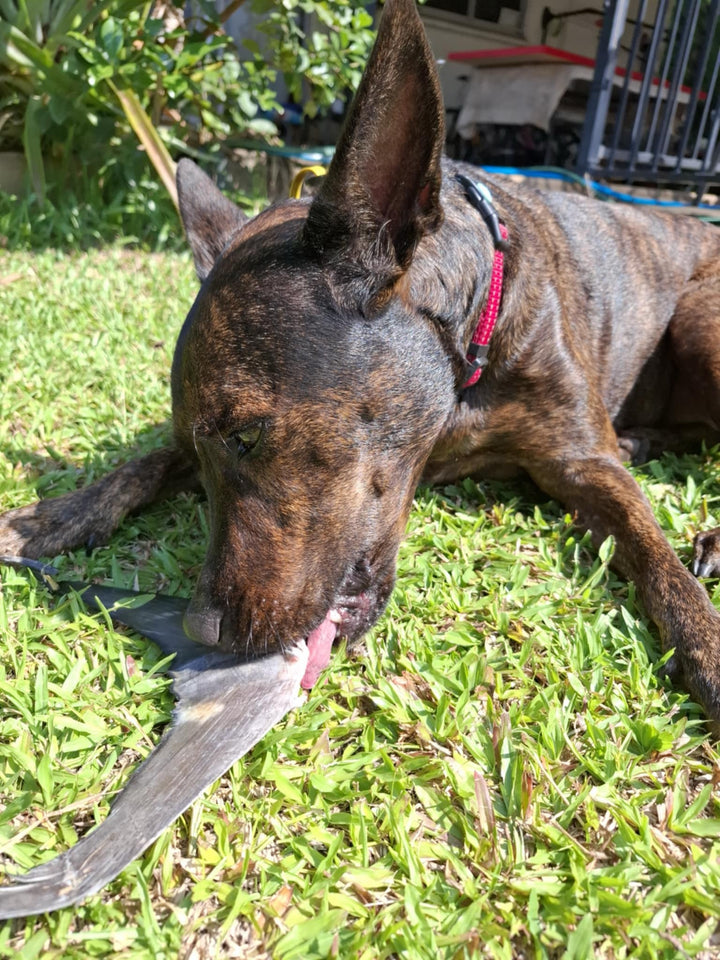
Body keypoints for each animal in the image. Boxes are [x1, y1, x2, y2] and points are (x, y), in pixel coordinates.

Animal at [1, 0, 720, 724]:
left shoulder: (581, 462)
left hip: (699, 325)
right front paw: (53, 517)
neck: (464, 357)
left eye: (247, 435)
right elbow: (145, 462)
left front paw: (707, 642)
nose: (199, 630)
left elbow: (653, 551)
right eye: (204, 452)